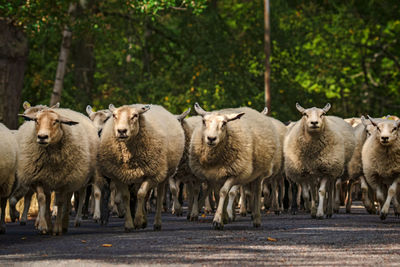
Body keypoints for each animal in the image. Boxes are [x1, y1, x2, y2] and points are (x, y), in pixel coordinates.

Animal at [17, 108, 99, 236]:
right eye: (36, 120)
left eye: (56, 121)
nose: (42, 137)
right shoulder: (39, 179)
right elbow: (42, 199)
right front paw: (44, 226)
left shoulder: (64, 181)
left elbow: (60, 202)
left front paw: (56, 228)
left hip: (81, 177)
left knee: (79, 197)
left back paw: (70, 223)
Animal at [97, 104, 185, 232]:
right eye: (114, 115)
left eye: (135, 116)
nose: (122, 131)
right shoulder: (119, 176)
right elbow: (126, 197)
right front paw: (129, 224)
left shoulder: (152, 175)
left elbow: (141, 194)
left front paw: (138, 221)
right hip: (138, 175)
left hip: (163, 174)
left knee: (158, 196)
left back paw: (156, 223)